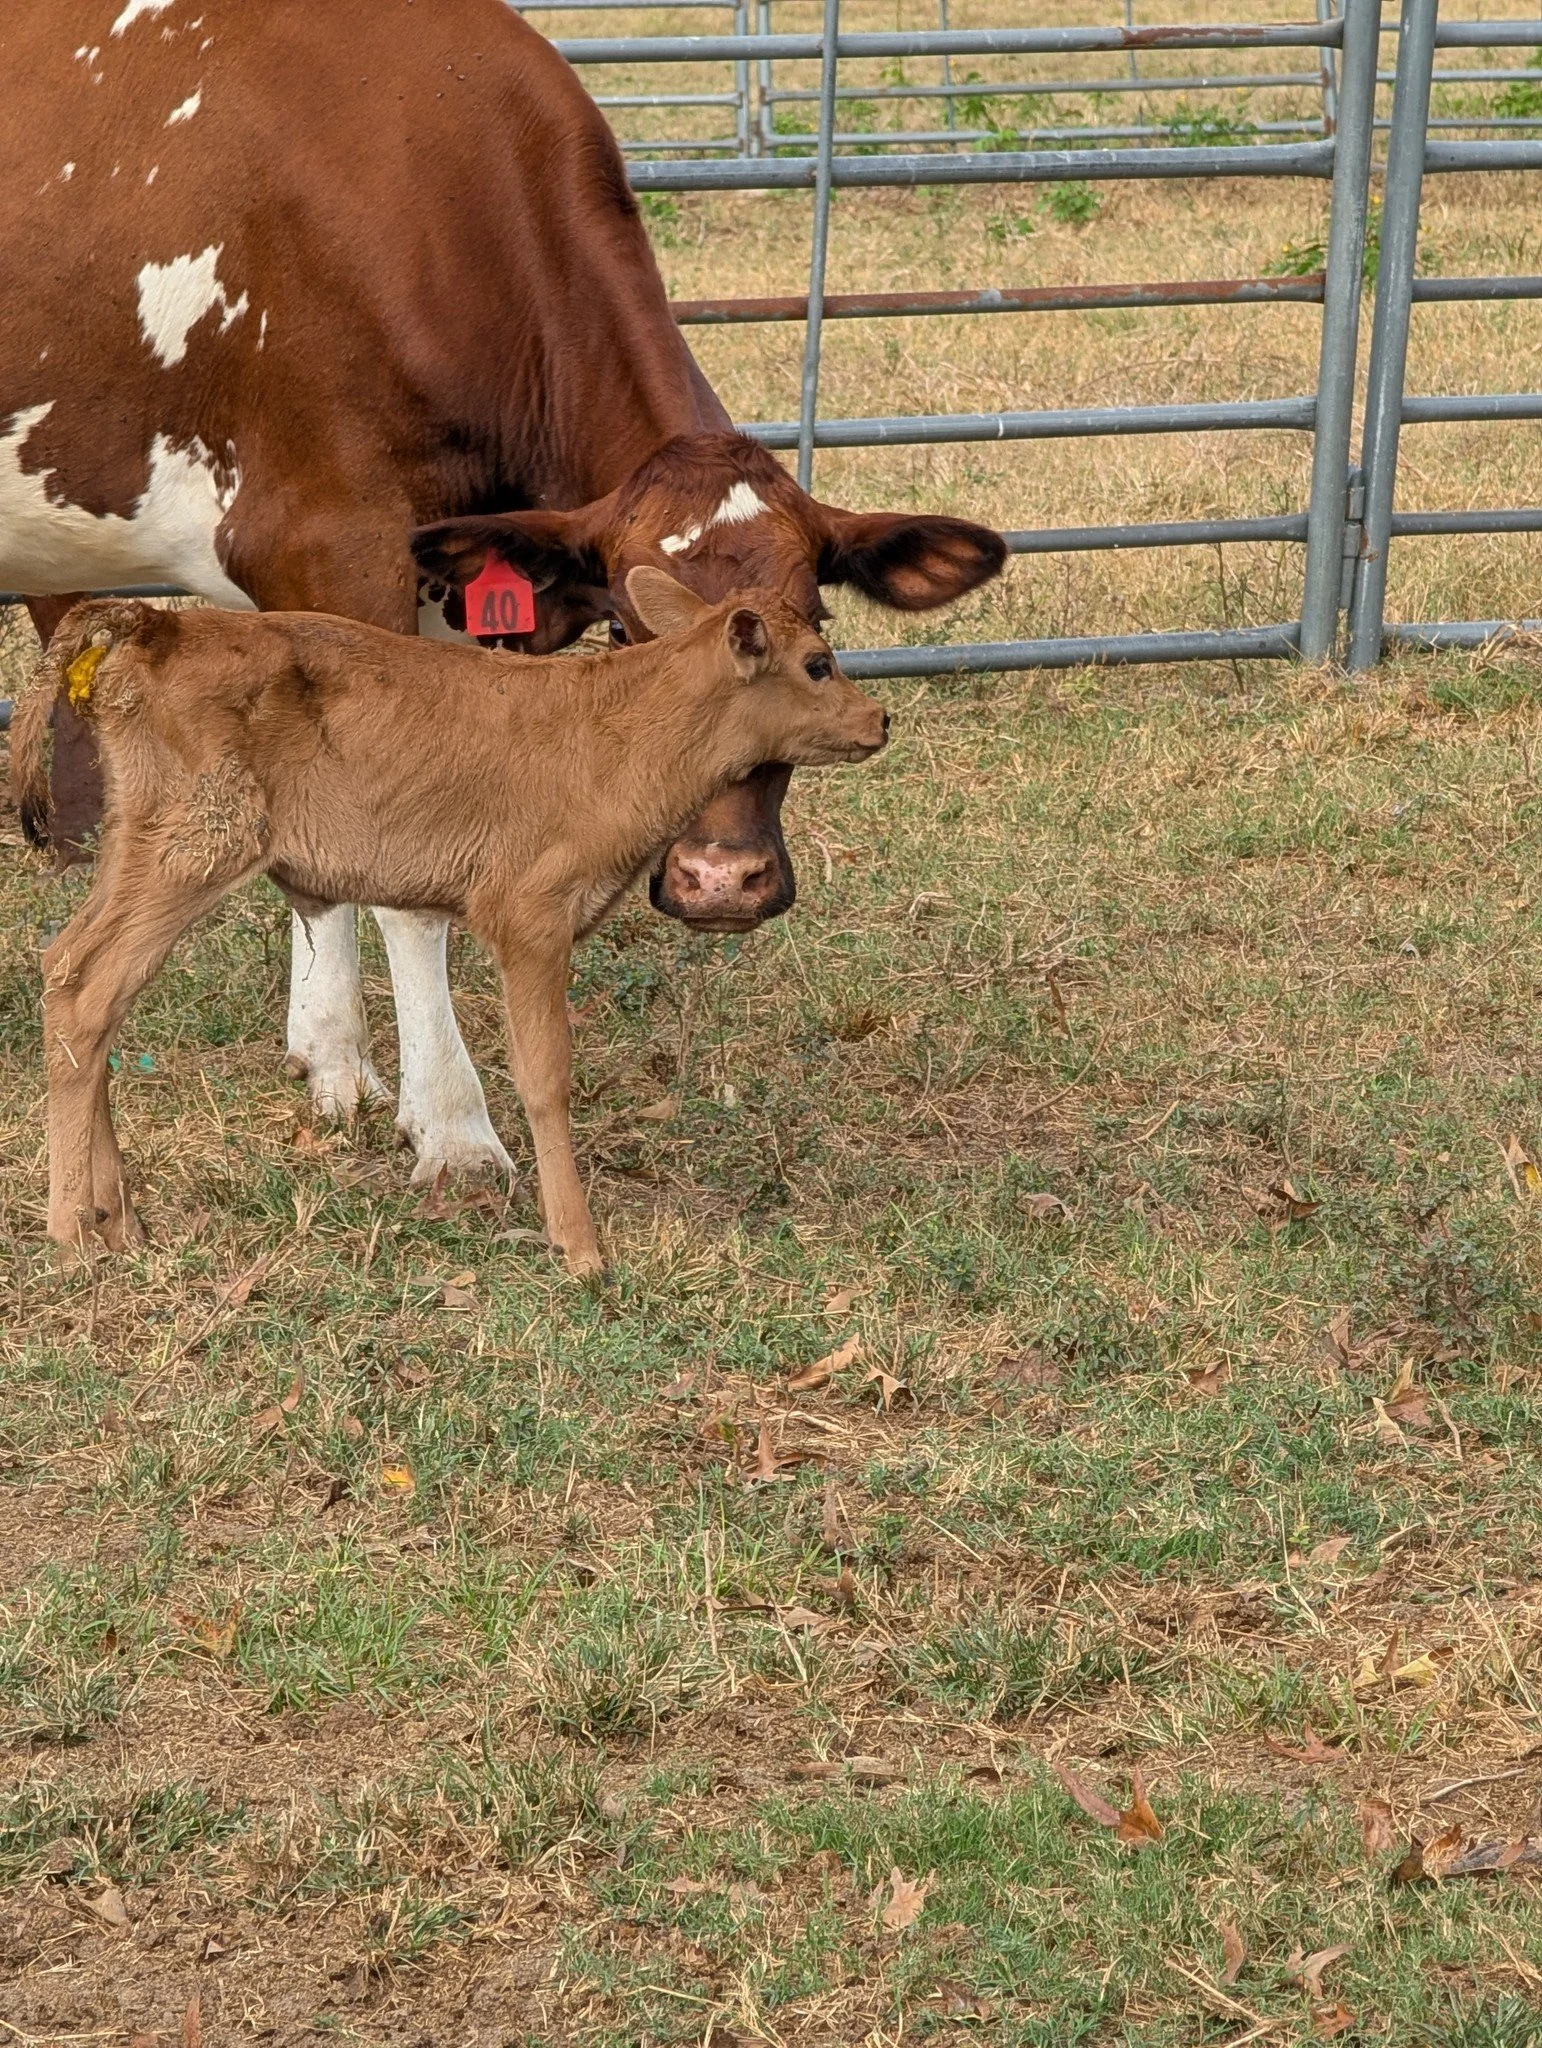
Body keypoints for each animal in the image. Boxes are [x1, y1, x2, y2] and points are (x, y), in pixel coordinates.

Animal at [1, 0, 1005, 1185]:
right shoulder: (328, 546)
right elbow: (400, 879)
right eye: (631, 622)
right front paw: (453, 1127)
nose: (721, 880)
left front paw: (331, 1059)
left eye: (823, 629)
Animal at [15, 576, 889, 1265]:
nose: (878, 719)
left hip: (141, 846)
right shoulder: (530, 918)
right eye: (817, 663)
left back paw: (118, 1219)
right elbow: (544, 1077)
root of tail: (154, 622)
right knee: (89, 993)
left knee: (71, 974)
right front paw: (580, 1247)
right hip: (196, 847)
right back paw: (72, 1231)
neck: (623, 730)